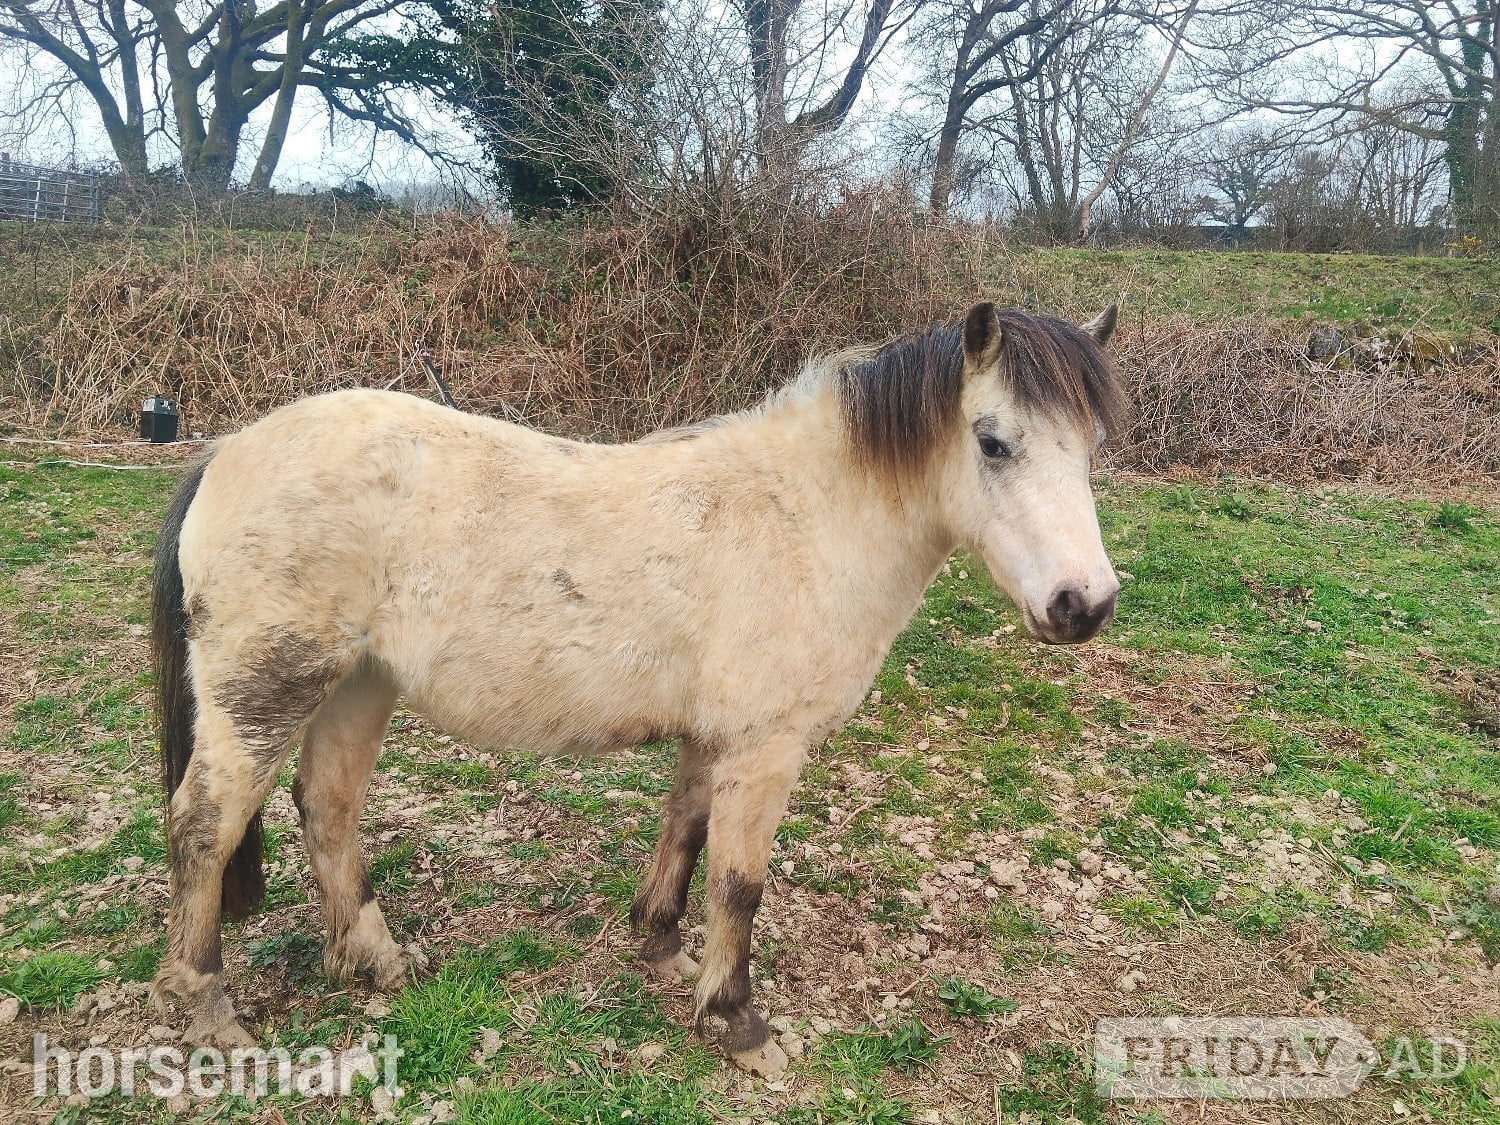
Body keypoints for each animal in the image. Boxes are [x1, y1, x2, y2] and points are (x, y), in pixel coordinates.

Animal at [148, 300, 1125, 1078]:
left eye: (1092, 450)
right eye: (994, 442)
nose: (1083, 605)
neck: (804, 517)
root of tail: (228, 451)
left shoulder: (717, 736)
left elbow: (684, 834)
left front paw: (658, 944)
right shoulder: (766, 746)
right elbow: (740, 881)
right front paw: (735, 1020)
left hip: (357, 685)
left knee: (329, 808)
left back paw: (377, 961)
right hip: (266, 691)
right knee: (205, 826)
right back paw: (207, 1008)